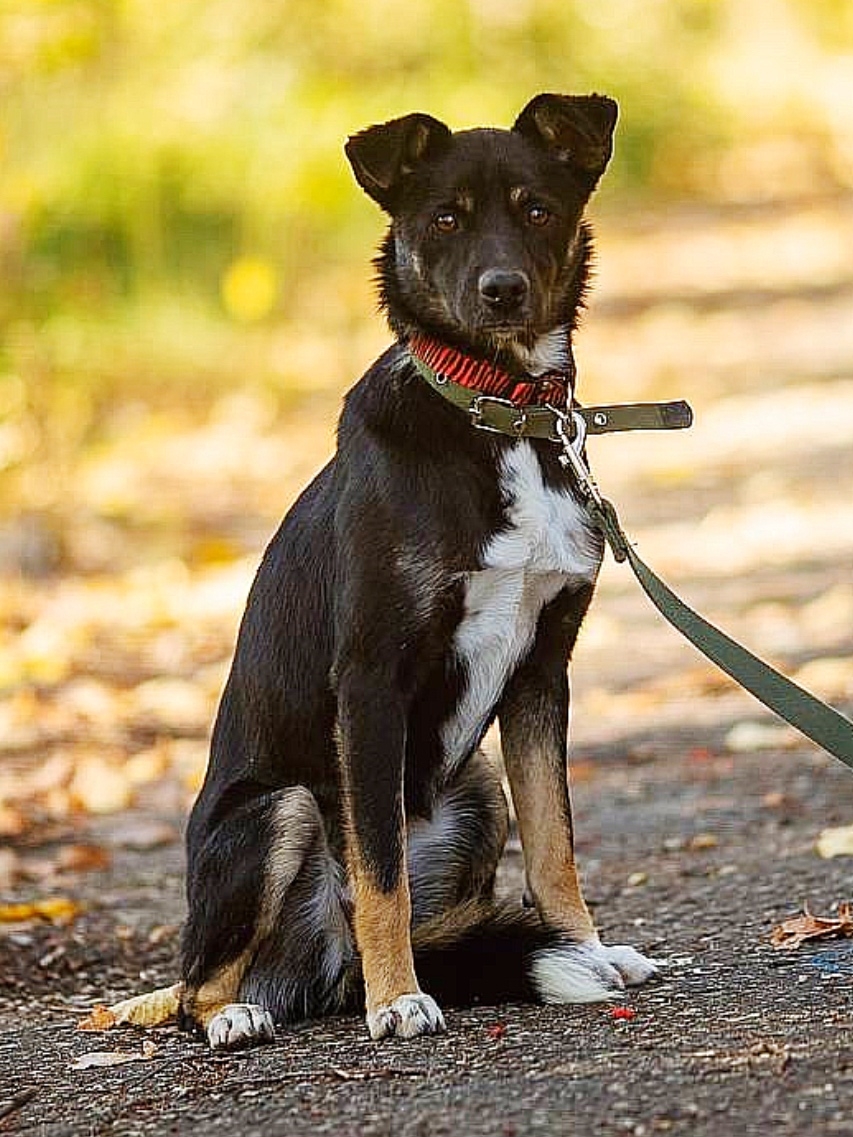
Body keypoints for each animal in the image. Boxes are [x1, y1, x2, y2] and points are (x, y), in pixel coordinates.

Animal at [179, 92, 660, 1050]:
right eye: (443, 219)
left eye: (536, 210)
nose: (501, 289)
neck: (502, 412)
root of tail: (317, 967)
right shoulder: (371, 679)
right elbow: (379, 871)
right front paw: (398, 996)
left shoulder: (541, 670)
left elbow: (554, 843)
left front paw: (585, 947)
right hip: (281, 806)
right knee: (189, 985)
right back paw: (245, 1012)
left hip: (475, 789)